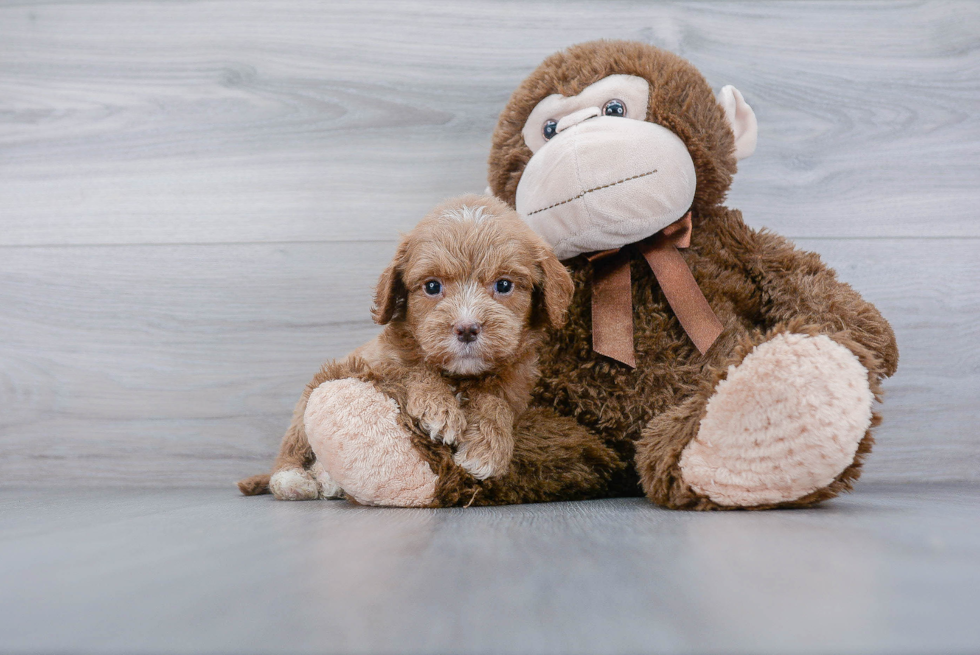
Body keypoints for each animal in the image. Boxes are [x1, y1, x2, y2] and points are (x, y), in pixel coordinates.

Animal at [239, 192, 576, 500]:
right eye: (432, 286)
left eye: (504, 285)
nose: (467, 328)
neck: (459, 376)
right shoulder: (379, 364)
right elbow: (413, 370)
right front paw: (439, 408)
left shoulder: (515, 387)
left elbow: (496, 402)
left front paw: (487, 447)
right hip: (305, 404)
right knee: (292, 446)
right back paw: (293, 480)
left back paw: (328, 481)